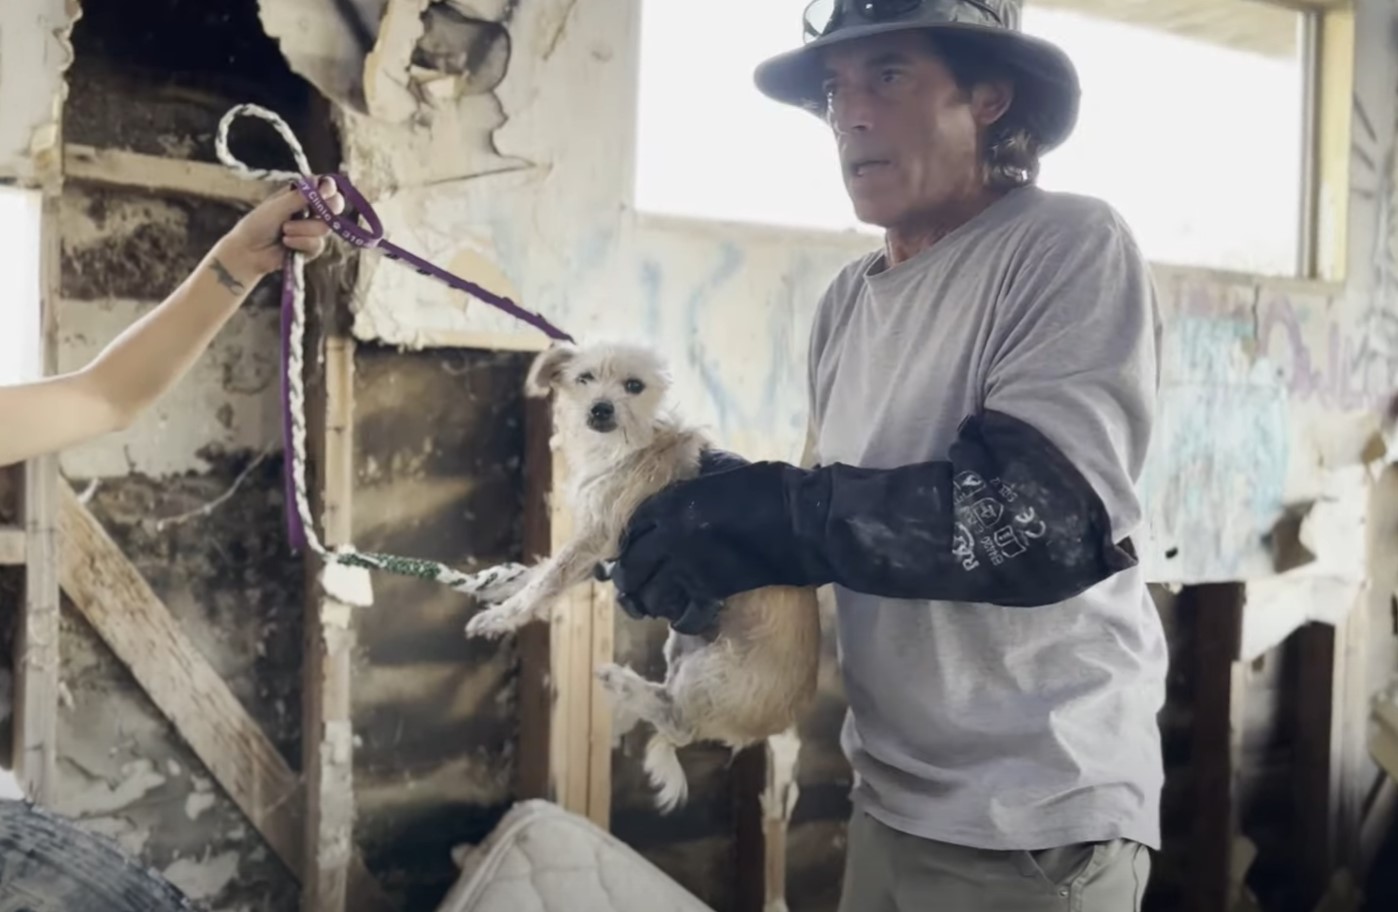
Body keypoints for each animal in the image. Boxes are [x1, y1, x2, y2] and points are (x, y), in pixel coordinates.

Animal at [464, 341, 822, 811]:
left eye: (634, 386)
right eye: (583, 378)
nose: (601, 408)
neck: (621, 451)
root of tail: (773, 726)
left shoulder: (598, 539)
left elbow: (548, 581)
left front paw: (502, 616)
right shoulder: (609, 554)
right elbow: (546, 570)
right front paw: (502, 583)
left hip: (711, 673)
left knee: (680, 724)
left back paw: (622, 681)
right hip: (684, 644)